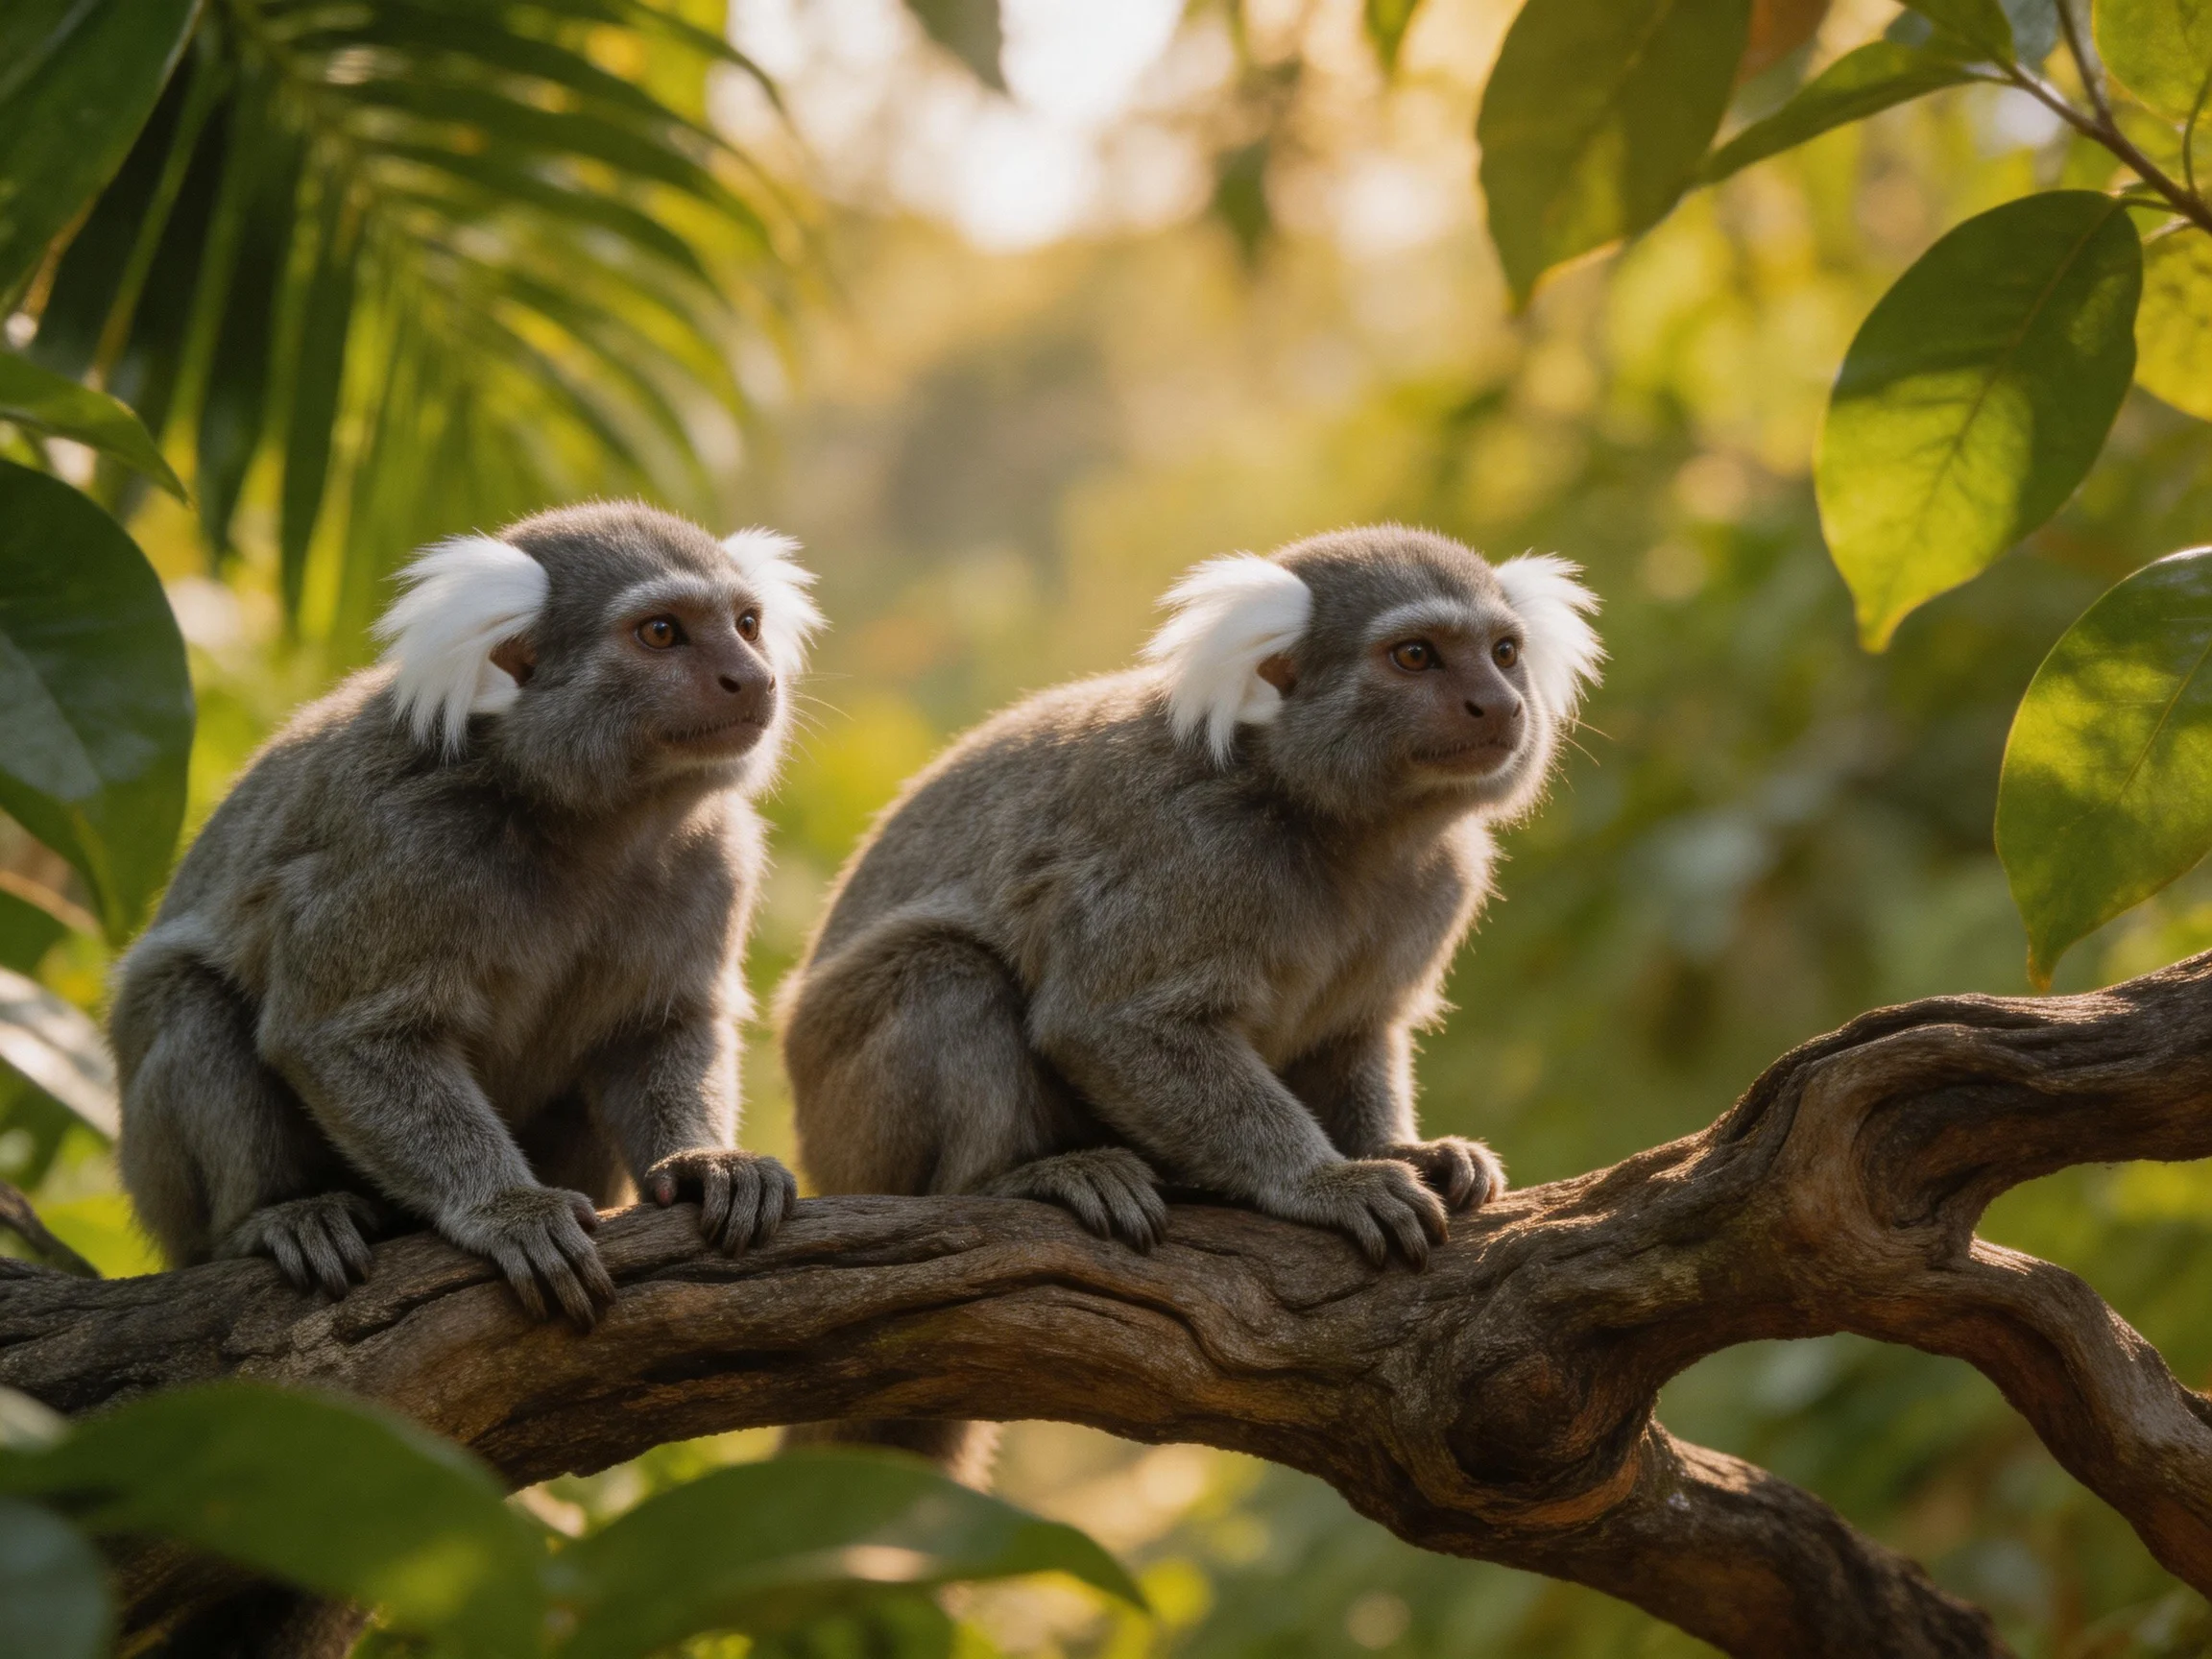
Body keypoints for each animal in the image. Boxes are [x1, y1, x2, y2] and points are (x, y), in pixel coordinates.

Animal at [111, 501, 819, 1329]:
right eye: (661, 632)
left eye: (746, 624)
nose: (751, 678)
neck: (584, 823)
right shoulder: (404, 843)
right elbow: (339, 1036)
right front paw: (509, 1208)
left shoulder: (716, 855)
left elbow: (657, 1026)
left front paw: (705, 1163)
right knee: (191, 997)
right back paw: (271, 1218)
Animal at [777, 523, 1599, 1476]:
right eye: (1417, 656)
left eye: (1503, 653)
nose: (1496, 704)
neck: (1332, 827)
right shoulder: (1191, 850)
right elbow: (1108, 1023)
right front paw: (1322, 1180)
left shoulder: (1441, 880)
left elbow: (1353, 1035)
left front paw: (1409, 1150)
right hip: (850, 1134)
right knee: (951, 971)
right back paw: (1017, 1179)